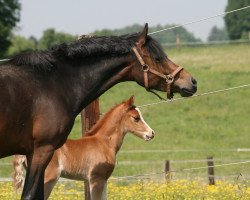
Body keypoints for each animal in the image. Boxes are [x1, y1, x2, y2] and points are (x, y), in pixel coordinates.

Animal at [13, 96, 155, 199]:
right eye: (136, 118)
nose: (151, 133)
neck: (104, 143)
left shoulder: (103, 180)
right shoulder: (96, 179)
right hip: (49, 177)